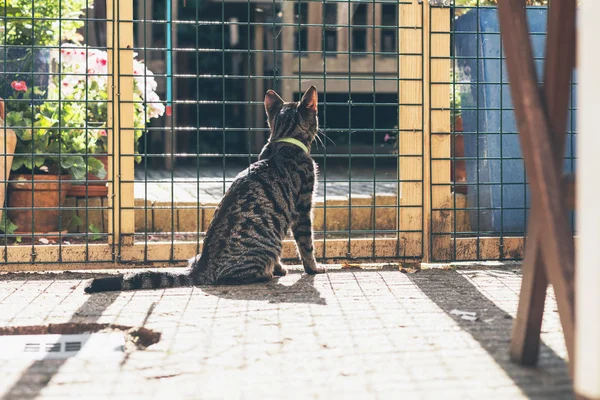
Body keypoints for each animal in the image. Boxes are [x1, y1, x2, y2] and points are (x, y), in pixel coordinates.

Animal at [84, 86, 324, 294]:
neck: (283, 142)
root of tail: (201, 269)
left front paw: (281, 267)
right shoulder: (303, 207)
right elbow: (306, 244)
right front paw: (313, 268)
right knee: (231, 277)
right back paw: (264, 274)